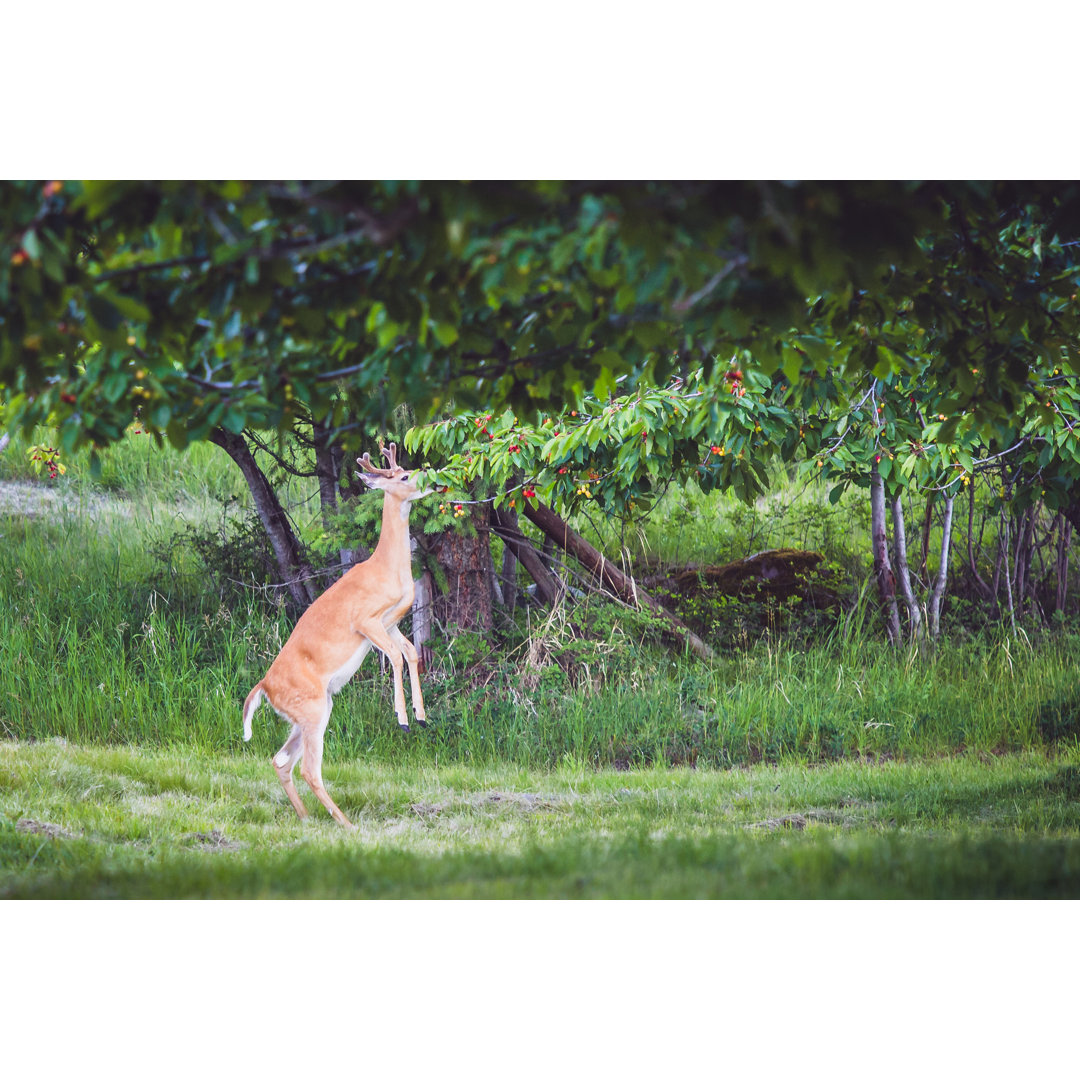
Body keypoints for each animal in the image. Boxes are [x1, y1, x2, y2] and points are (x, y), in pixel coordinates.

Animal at [243, 442, 432, 829]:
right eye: (403, 476)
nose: (429, 477)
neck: (388, 569)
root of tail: (264, 687)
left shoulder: (391, 622)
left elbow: (411, 653)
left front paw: (420, 715)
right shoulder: (366, 621)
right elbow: (395, 656)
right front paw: (402, 719)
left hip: (311, 711)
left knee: (280, 760)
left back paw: (306, 818)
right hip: (312, 708)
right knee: (308, 769)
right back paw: (345, 823)